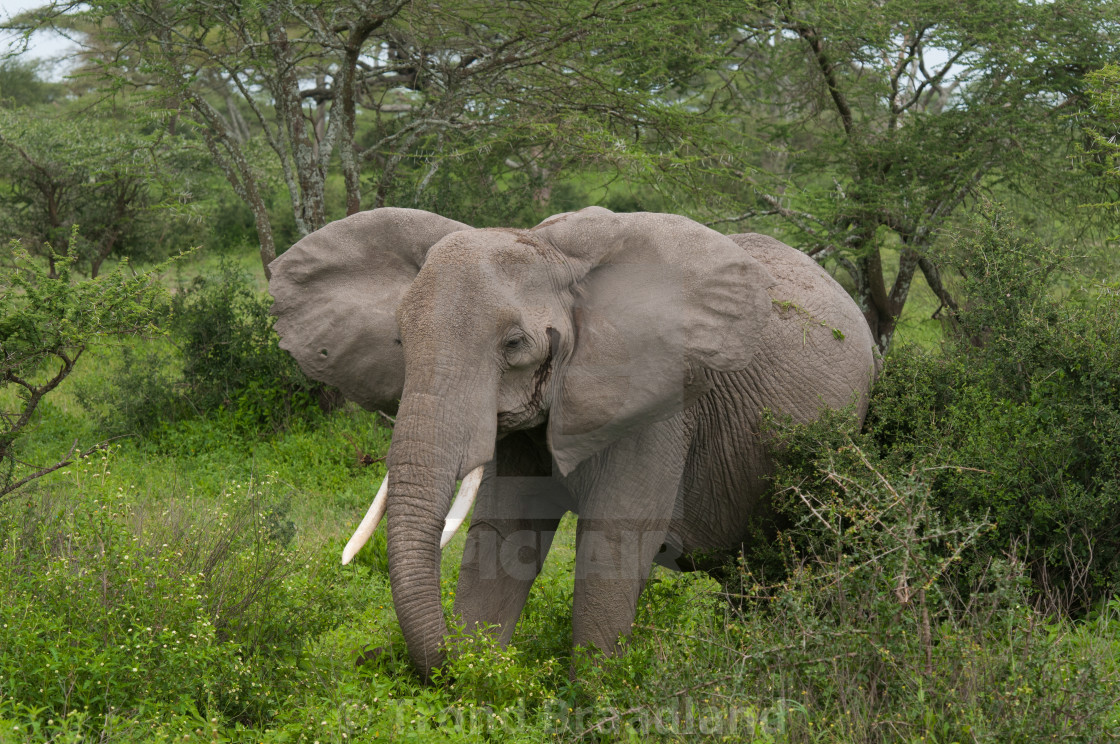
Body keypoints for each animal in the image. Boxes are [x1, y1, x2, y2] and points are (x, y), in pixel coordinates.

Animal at [266, 203, 878, 681]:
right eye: (400, 338)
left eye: (515, 344)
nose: (443, 660)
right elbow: (502, 537)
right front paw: (479, 680)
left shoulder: (659, 404)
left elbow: (615, 545)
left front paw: (596, 699)